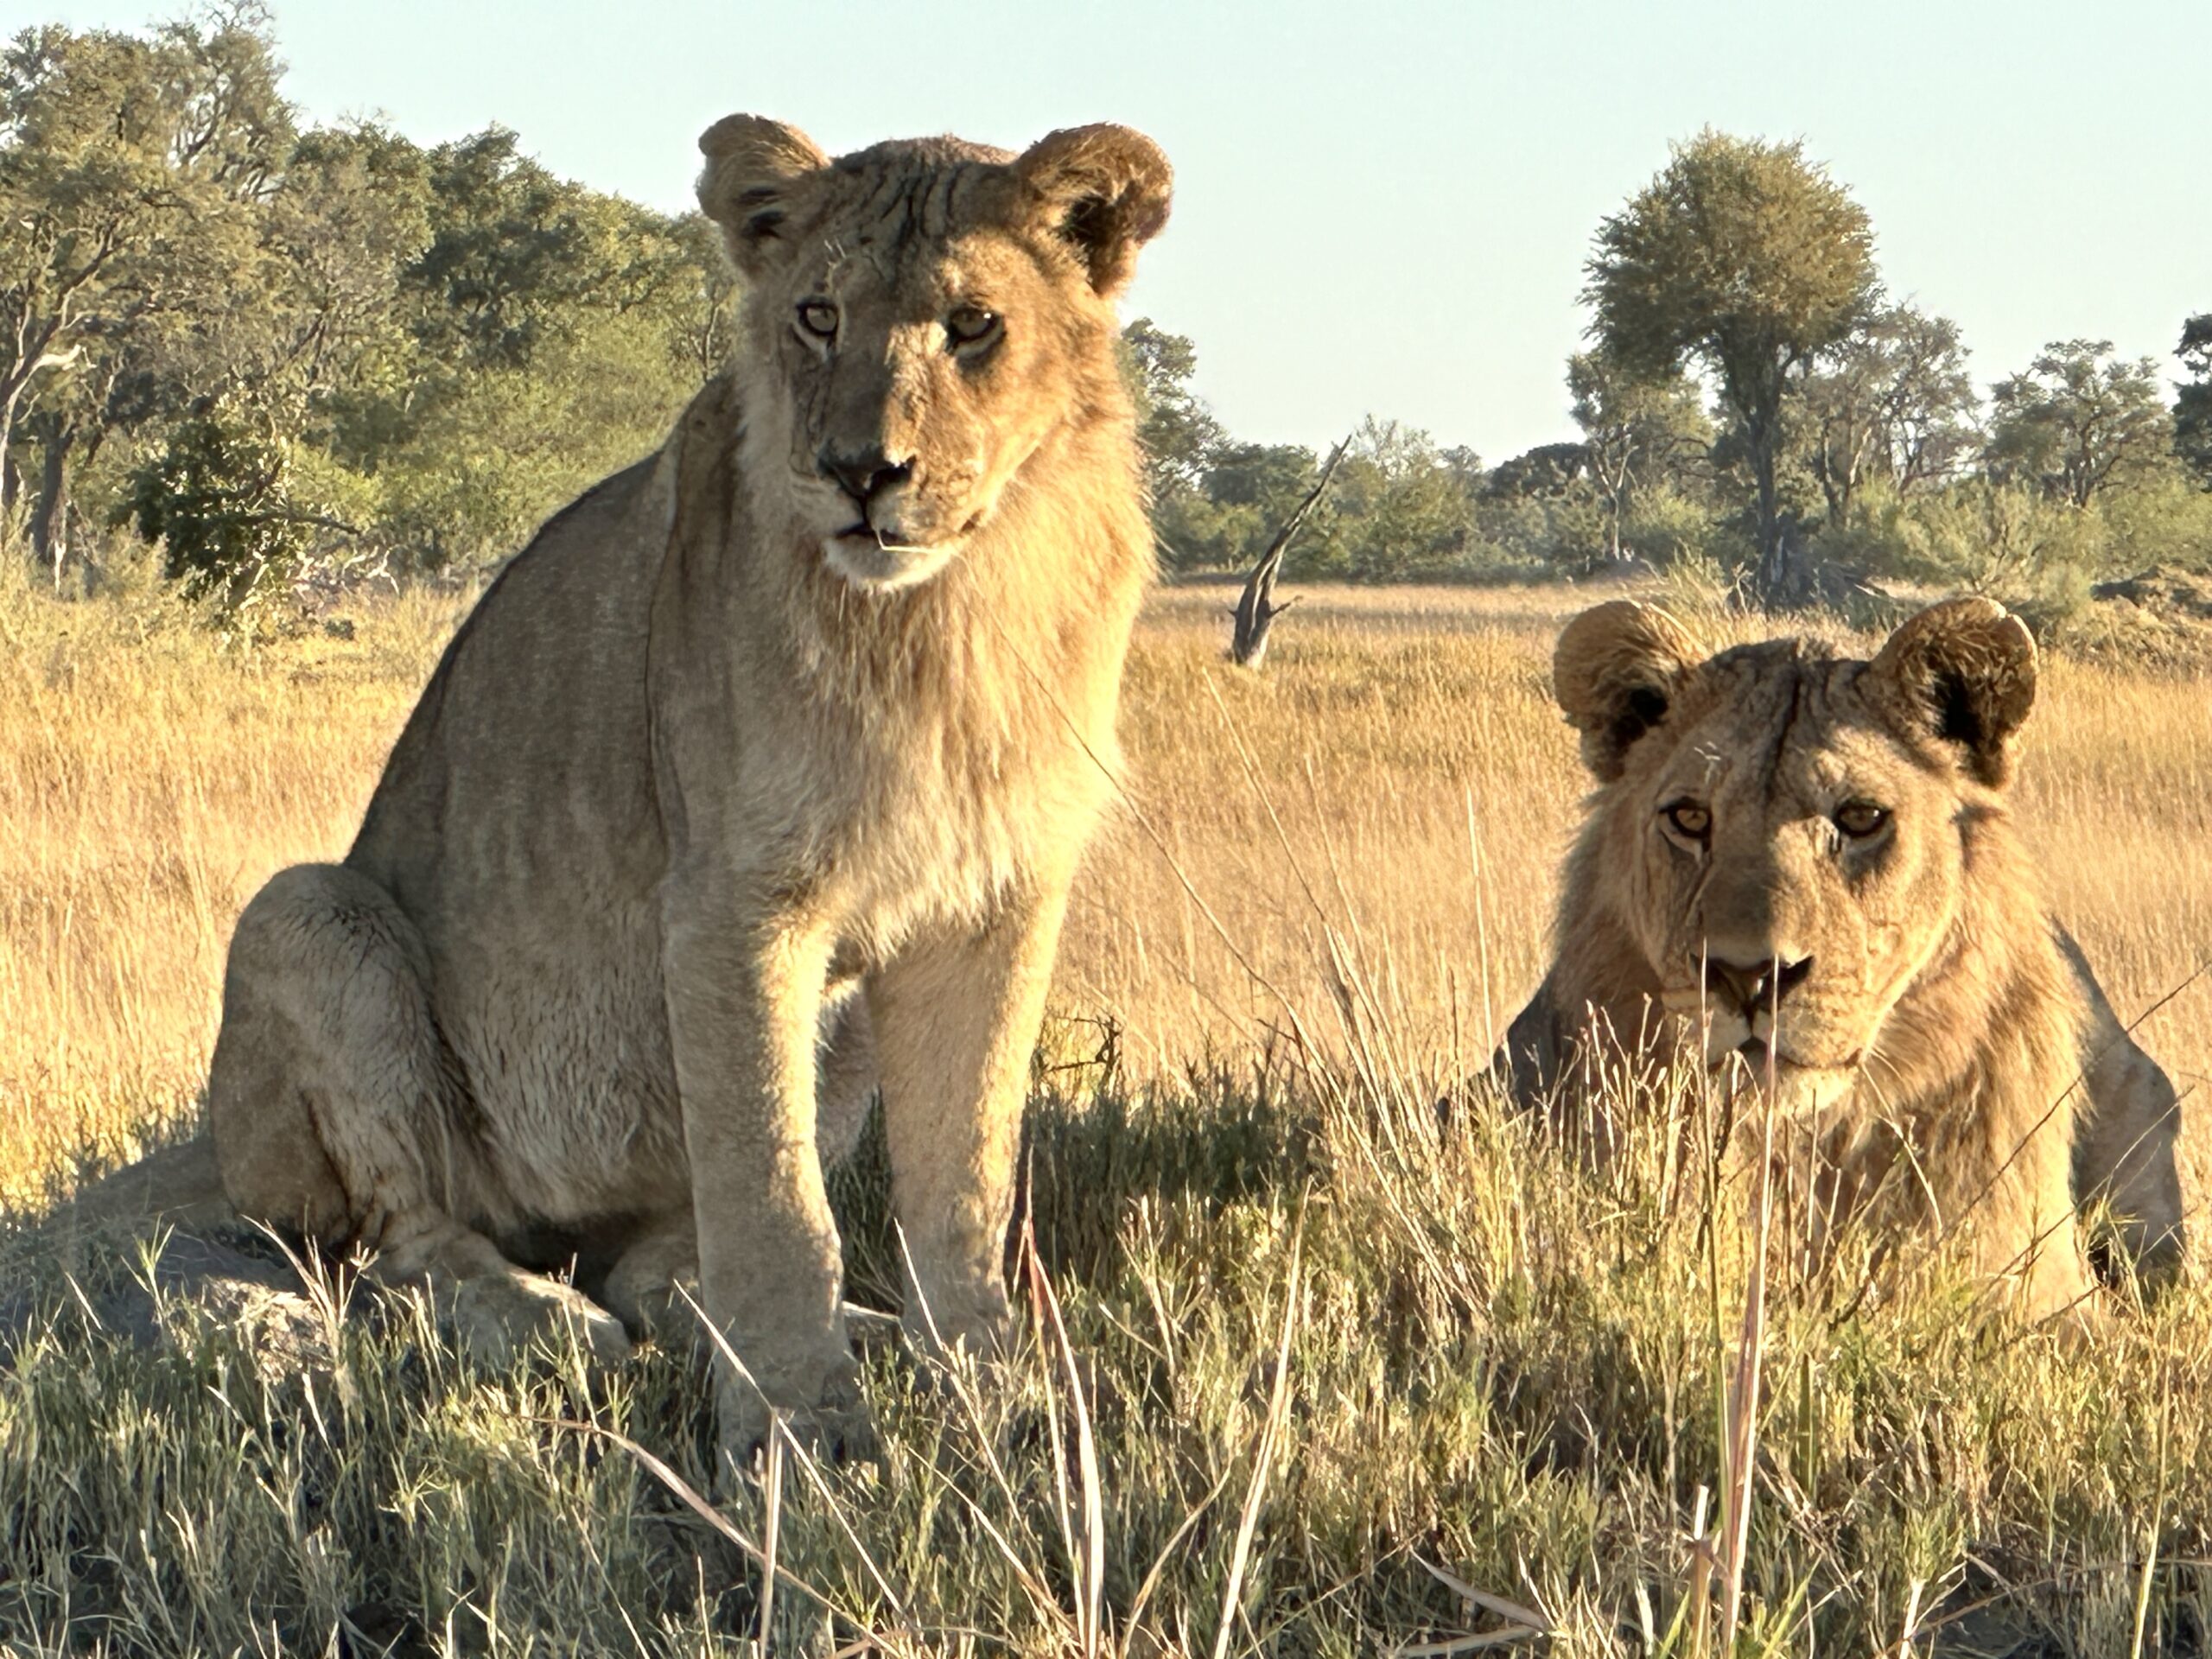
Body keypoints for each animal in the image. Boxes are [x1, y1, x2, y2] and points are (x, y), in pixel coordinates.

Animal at [160, 116, 1173, 1461]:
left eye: (972, 325)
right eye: (815, 316)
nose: (861, 472)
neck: (948, 614)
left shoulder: (997, 900)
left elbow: (964, 1179)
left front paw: (995, 1404)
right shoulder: (730, 904)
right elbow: (775, 1197)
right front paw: (800, 1427)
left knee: (649, 1257)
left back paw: (778, 1321)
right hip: (308, 916)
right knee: (401, 1239)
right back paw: (539, 1319)